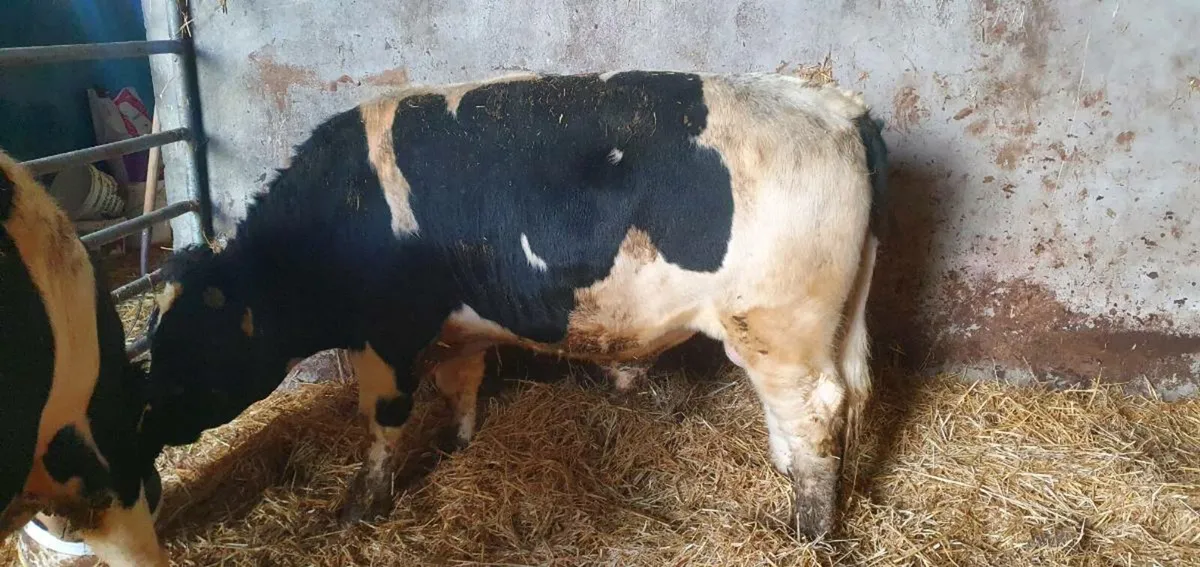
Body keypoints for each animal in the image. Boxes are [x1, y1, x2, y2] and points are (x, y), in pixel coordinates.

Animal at [142, 70, 887, 540]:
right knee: (818, 408)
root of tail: (835, 106)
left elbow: (383, 421)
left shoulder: (386, 334)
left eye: (187, 347)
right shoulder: (455, 328)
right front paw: (459, 444)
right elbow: (461, 384)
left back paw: (808, 527)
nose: (151, 427)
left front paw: (359, 506)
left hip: (776, 325)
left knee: (815, 410)